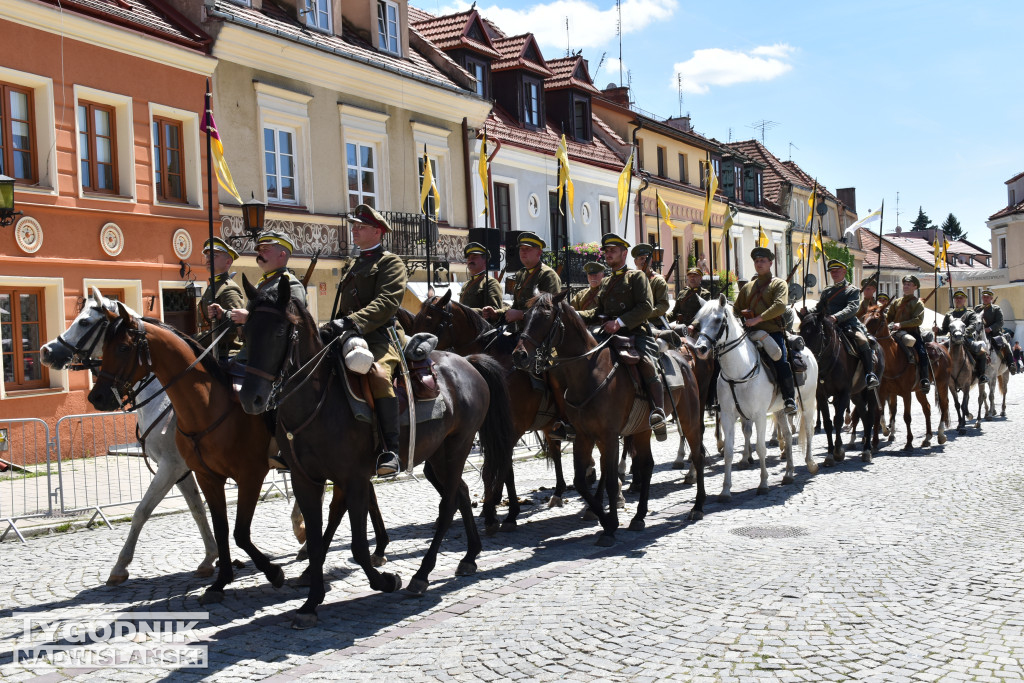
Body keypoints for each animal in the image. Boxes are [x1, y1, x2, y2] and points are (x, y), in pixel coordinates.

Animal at [237, 274, 512, 626]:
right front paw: (310, 603)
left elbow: (356, 544)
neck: (318, 401)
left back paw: (422, 574)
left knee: (448, 503)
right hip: (437, 455)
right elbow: (316, 540)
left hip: (458, 446)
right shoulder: (306, 480)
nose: (251, 399)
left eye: (278, 332)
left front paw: (384, 580)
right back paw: (469, 556)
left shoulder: (353, 478)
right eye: (246, 332)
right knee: (461, 493)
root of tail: (467, 362)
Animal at [409, 286, 573, 524]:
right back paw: (559, 490)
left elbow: (500, 468)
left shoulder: (510, 429)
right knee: (555, 449)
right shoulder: (482, 429)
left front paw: (501, 510)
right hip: (548, 424)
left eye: (429, 320)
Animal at [509, 290, 704, 548]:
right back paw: (639, 517)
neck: (588, 373)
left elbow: (611, 479)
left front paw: (610, 527)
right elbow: (581, 482)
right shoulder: (584, 436)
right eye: (525, 316)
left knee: (698, 455)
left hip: (690, 419)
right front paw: (605, 519)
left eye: (546, 317)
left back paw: (698, 506)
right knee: (647, 464)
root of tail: (683, 358)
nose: (519, 355)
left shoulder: (609, 437)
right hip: (641, 429)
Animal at [692, 294, 819, 501]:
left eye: (718, 320)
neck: (738, 372)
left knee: (808, 429)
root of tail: (806, 350)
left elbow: (760, 448)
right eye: (699, 322)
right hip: (781, 409)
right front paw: (725, 490)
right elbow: (728, 452)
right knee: (787, 434)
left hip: (807, 402)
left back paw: (811, 463)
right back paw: (789, 473)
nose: (700, 349)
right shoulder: (728, 416)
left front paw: (763, 484)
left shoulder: (759, 416)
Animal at [864, 307, 950, 450]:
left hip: (942, 383)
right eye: (864, 317)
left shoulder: (906, 393)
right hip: (920, 390)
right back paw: (927, 437)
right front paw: (875, 442)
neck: (893, 359)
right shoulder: (883, 392)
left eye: (876, 319)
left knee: (944, 404)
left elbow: (907, 417)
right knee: (927, 408)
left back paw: (941, 435)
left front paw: (909, 442)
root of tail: (942, 347)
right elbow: (879, 413)